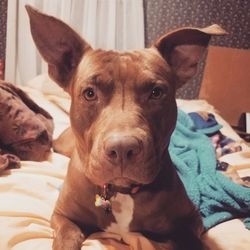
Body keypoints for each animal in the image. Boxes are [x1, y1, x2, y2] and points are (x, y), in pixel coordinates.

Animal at [26, 5, 226, 250]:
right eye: (90, 93)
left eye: (156, 92)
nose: (122, 149)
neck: (120, 192)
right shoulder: (63, 216)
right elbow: (67, 236)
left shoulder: (192, 219)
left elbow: (188, 240)